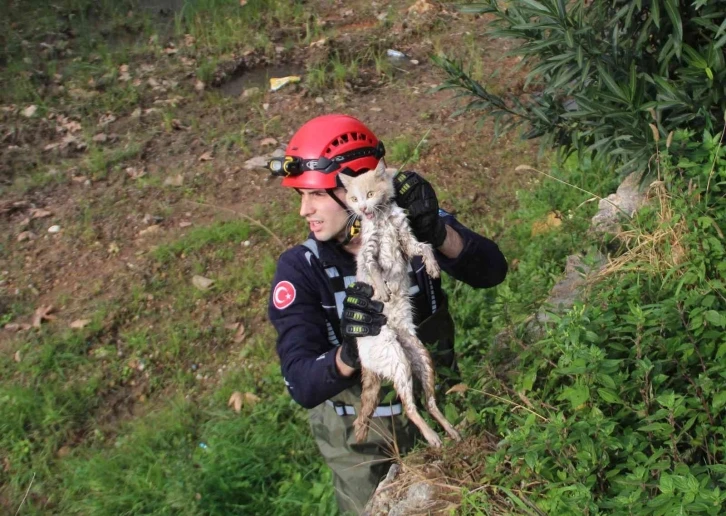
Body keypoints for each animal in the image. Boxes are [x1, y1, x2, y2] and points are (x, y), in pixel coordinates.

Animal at [340, 160, 464, 448]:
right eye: (353, 199)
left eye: (370, 194)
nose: (362, 209)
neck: (383, 217)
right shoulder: (370, 250)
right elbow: (373, 269)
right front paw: (383, 292)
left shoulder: (406, 238)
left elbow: (426, 246)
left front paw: (432, 267)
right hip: (397, 360)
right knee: (410, 407)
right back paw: (433, 437)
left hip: (421, 358)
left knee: (428, 403)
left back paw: (449, 432)